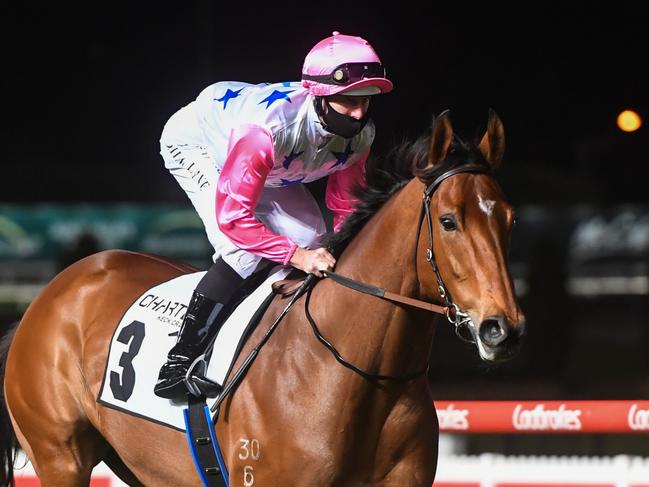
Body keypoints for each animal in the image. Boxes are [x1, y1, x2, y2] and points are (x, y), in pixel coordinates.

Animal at [0, 108, 524, 486]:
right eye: (449, 221)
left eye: (510, 219)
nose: (503, 329)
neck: (361, 373)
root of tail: (52, 293)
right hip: (60, 456)